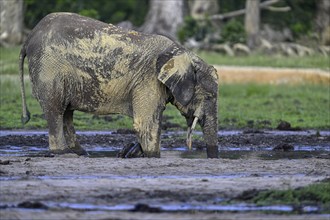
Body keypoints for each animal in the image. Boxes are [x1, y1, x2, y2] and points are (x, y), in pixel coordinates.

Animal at [18, 12, 219, 158]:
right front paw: (151, 155)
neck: (182, 53)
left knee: (66, 112)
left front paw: (131, 151)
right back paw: (63, 153)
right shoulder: (148, 79)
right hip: (49, 69)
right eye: (209, 96)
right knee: (56, 110)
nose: (212, 157)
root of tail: (29, 37)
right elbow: (146, 123)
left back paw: (81, 153)